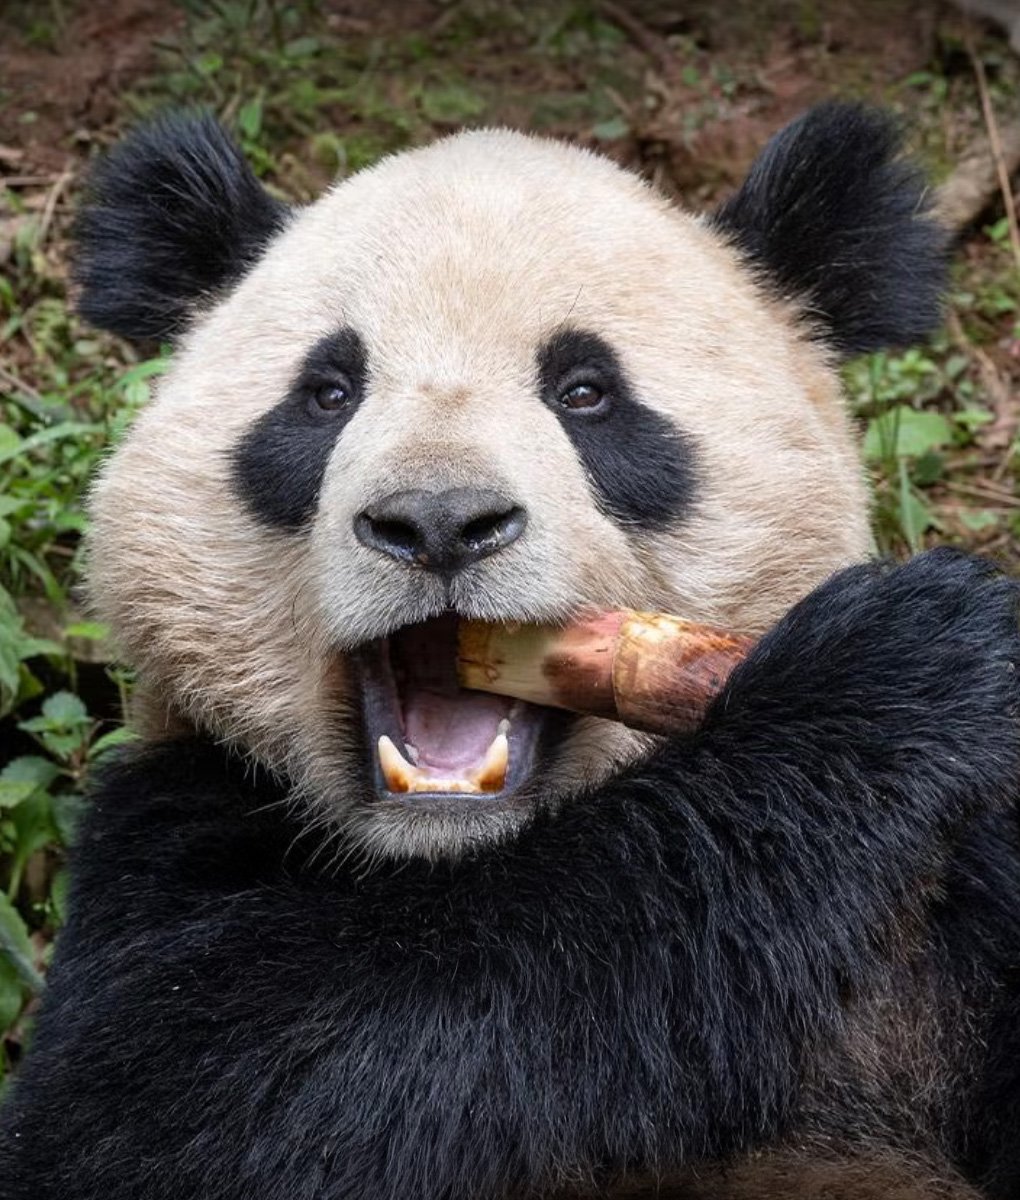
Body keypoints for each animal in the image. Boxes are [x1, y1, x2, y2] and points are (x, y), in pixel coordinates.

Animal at [1, 101, 1019, 1200]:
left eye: (586, 392)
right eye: (327, 393)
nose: (438, 521)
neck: (456, 861)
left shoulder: (958, 890)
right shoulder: (171, 820)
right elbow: (219, 1098)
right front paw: (891, 670)